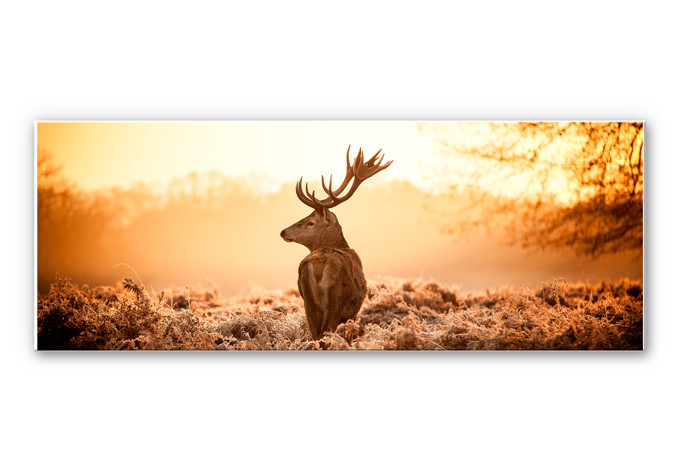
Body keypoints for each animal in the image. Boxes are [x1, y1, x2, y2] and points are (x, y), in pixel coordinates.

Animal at [280, 146, 392, 340]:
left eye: (311, 222)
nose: (283, 231)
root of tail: (318, 265)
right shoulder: (352, 312)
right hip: (335, 301)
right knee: (326, 333)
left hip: (308, 302)